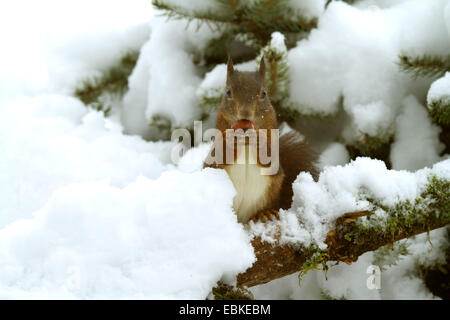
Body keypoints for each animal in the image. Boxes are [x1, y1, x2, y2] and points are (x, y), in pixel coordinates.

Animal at [204, 57, 316, 222]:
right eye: (228, 92)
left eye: (263, 93)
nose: (245, 112)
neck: (245, 142)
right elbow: (221, 156)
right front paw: (231, 138)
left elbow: (267, 156)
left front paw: (259, 139)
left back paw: (264, 213)